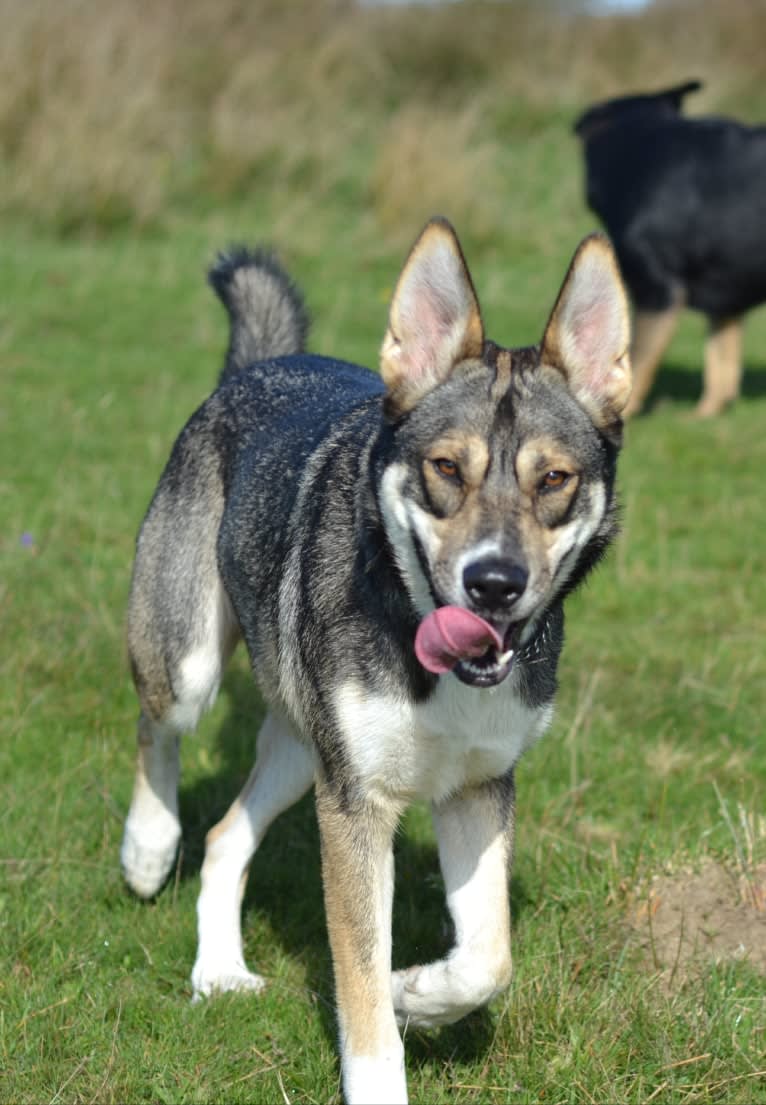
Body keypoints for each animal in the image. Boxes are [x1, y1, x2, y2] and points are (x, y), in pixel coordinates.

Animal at [119, 217, 632, 1105]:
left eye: (555, 480)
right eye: (446, 468)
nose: (494, 582)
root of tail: (256, 366)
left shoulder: (474, 789)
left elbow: (486, 958)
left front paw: (416, 993)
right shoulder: (357, 808)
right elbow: (358, 982)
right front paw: (382, 1052)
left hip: (305, 749)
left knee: (225, 834)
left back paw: (218, 969)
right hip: (190, 663)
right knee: (161, 732)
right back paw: (147, 849)